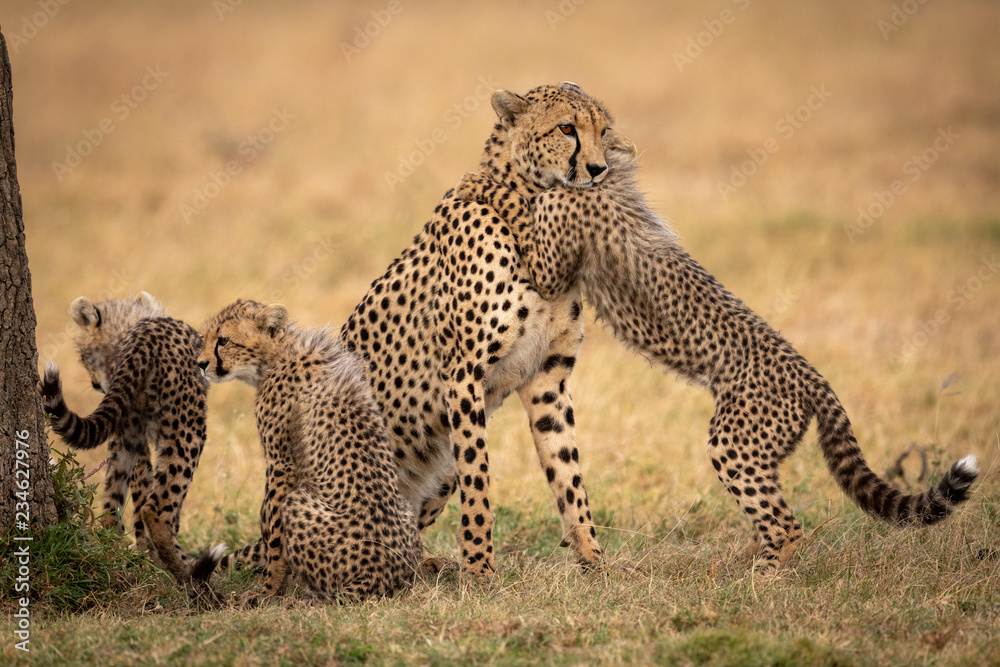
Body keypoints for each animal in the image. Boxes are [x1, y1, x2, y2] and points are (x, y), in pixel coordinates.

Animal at [39, 292, 209, 584]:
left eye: (84, 355)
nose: (97, 385)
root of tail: (145, 338)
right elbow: (156, 501)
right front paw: (152, 558)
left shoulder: (130, 431)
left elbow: (140, 490)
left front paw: (145, 558)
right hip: (188, 430)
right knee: (156, 508)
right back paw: (191, 575)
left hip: (128, 435)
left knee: (110, 509)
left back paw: (115, 555)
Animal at [195, 299, 422, 601]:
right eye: (205, 338)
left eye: (223, 340)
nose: (200, 364)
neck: (278, 354)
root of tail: (382, 576)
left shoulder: (281, 464)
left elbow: (273, 533)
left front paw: (267, 591)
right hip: (406, 510)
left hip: (298, 503)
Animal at [453, 125, 980, 571]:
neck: (610, 180)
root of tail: (816, 379)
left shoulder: (551, 261)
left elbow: (519, 212)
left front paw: (484, 185)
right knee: (772, 517)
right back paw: (743, 561)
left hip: (734, 442)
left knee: (787, 526)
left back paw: (760, 578)